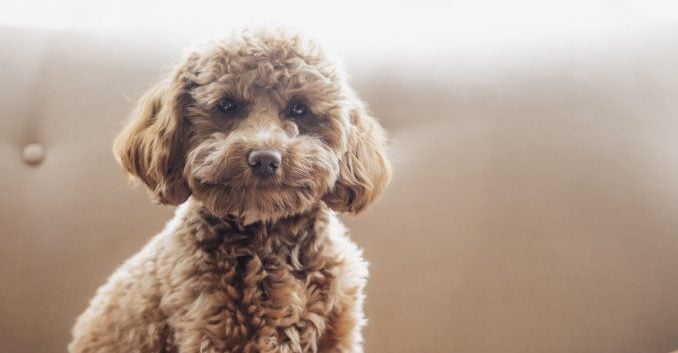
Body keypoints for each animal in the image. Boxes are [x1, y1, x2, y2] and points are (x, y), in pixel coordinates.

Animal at [67, 28, 394, 352]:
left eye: (299, 108)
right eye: (226, 106)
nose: (264, 159)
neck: (268, 235)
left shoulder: (337, 332)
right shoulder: (210, 330)